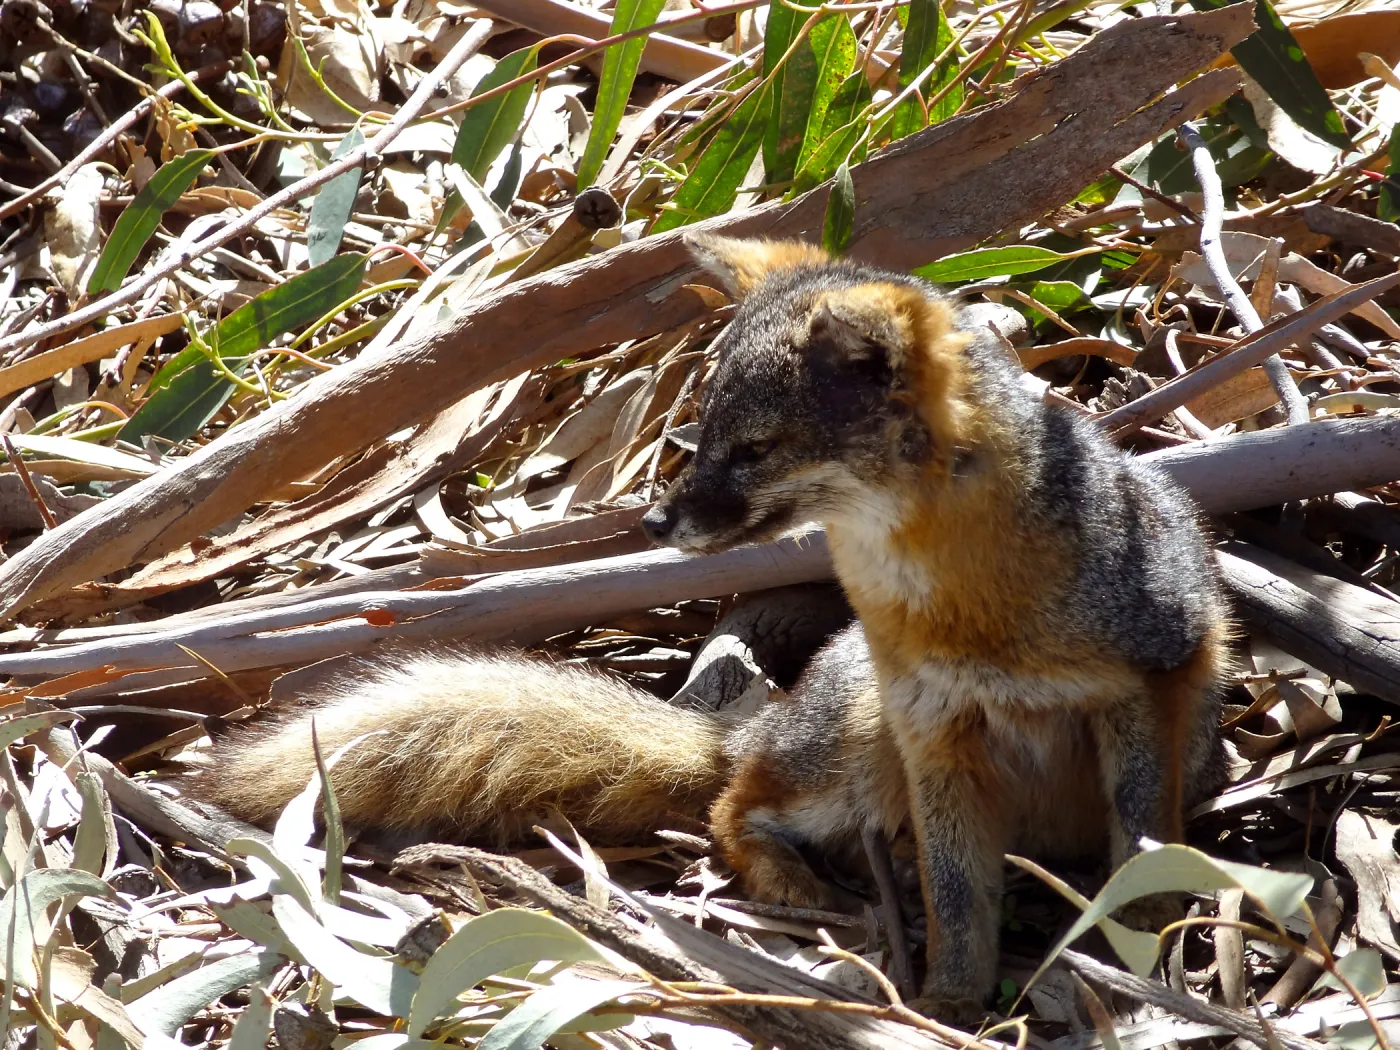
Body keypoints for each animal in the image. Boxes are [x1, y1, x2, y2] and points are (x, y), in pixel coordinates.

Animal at [191, 236, 1228, 1013]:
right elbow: (959, 903)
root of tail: (757, 720)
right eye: (701, 434)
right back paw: (797, 881)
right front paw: (949, 1008)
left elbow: (1141, 860)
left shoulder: (1140, 693)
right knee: (734, 804)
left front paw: (1143, 968)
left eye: (756, 449)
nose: (655, 522)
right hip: (865, 745)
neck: (959, 610)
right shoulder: (935, 733)